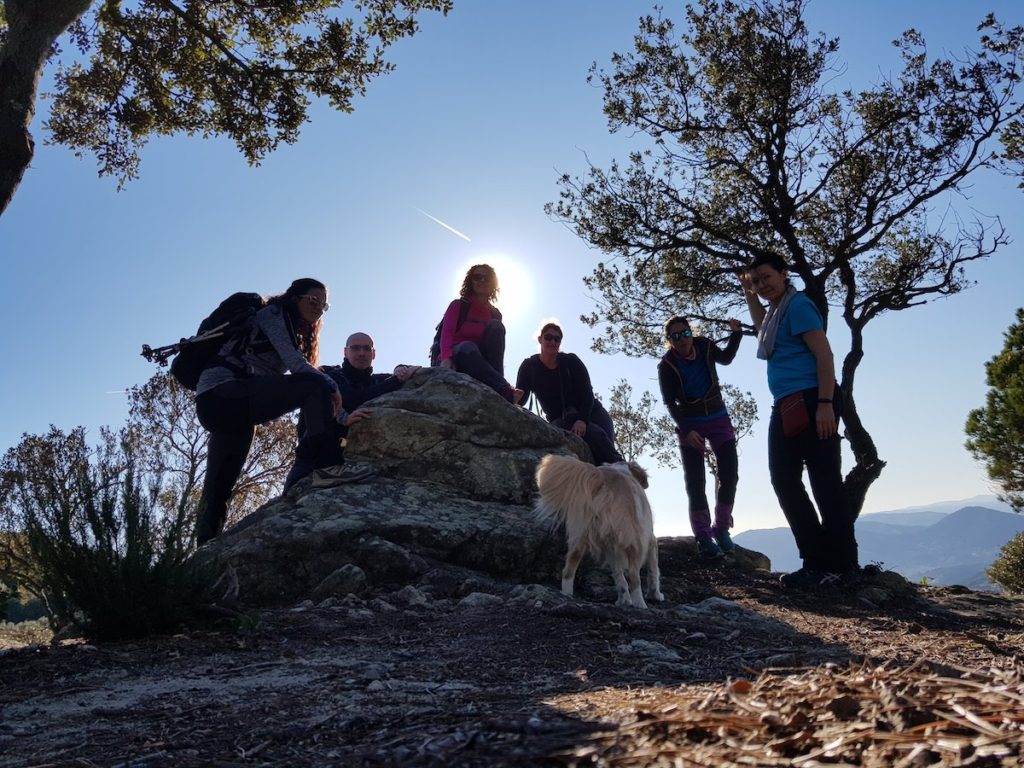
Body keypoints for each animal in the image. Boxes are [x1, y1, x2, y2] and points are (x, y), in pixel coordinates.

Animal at [532, 454, 667, 610]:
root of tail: (601, 478)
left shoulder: (612, 549)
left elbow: (619, 577)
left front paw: (624, 600)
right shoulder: (650, 540)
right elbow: (654, 570)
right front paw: (655, 595)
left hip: (579, 538)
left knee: (567, 572)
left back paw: (567, 596)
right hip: (633, 540)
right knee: (634, 577)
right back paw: (641, 605)